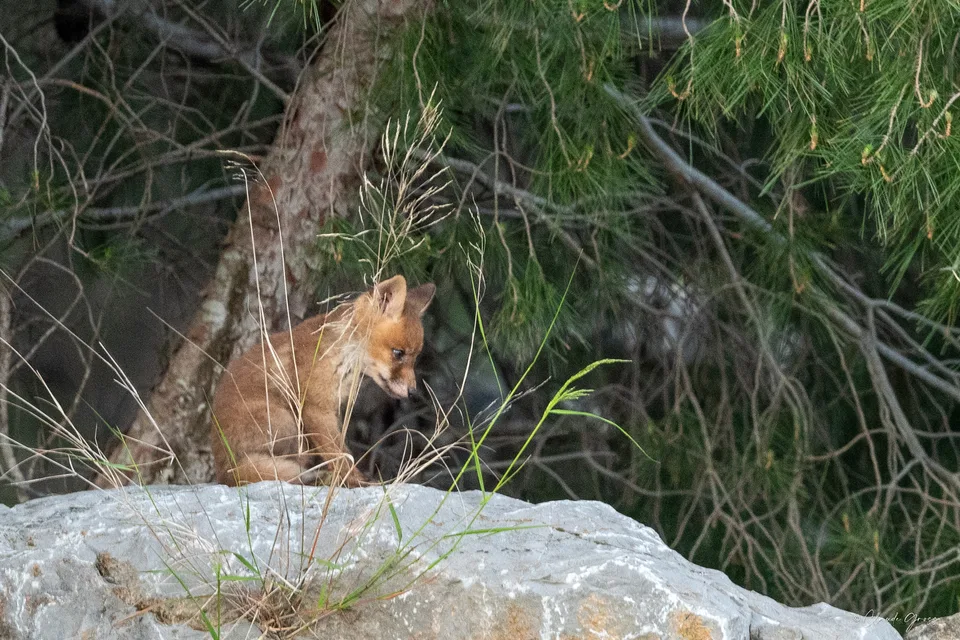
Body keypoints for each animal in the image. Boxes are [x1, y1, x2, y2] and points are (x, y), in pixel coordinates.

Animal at [210, 275, 435, 488]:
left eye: (415, 357)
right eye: (398, 353)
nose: (413, 392)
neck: (342, 360)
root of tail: (225, 472)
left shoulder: (334, 410)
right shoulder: (316, 410)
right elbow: (339, 455)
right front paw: (355, 481)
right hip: (287, 423)